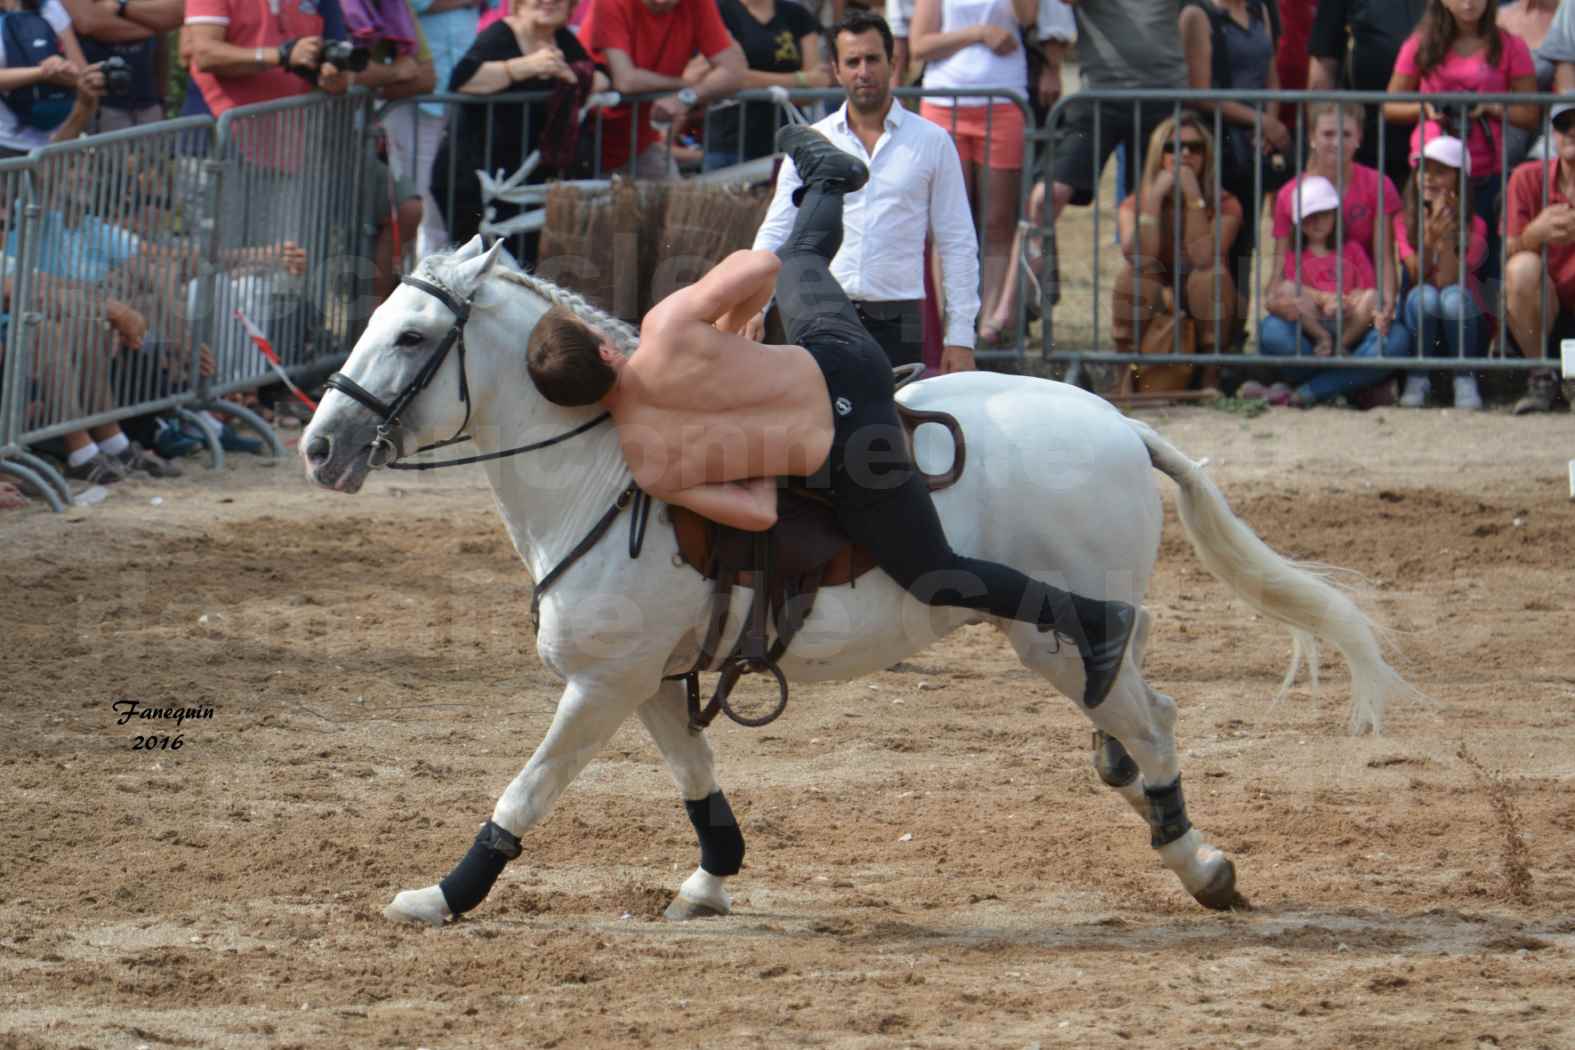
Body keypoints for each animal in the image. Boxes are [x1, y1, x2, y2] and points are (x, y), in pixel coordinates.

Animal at [300, 236, 1411, 925]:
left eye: (410, 336)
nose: (318, 446)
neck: (601, 470)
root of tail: (1122, 425)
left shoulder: (602, 684)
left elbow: (526, 789)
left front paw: (444, 895)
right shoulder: (650, 680)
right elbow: (697, 778)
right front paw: (710, 880)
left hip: (1043, 635)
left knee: (1141, 711)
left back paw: (1198, 860)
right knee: (1142, 710)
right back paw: (1156, 813)